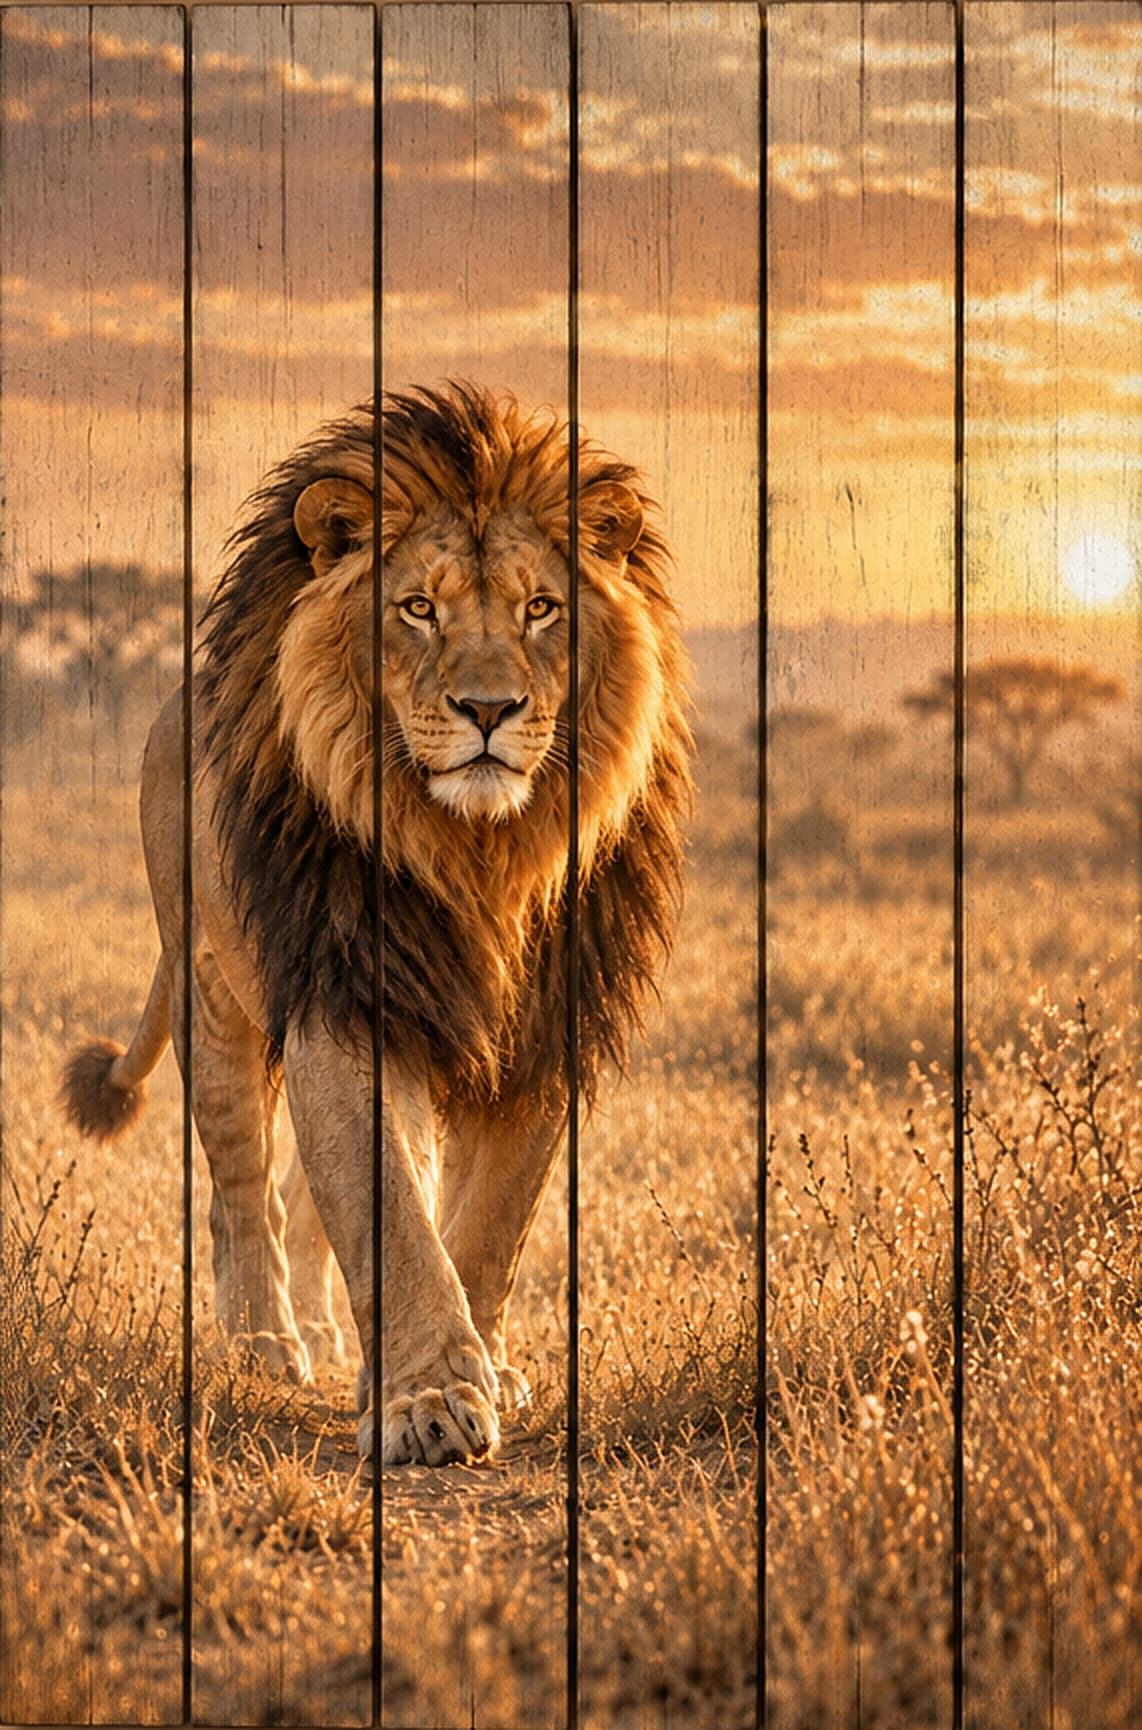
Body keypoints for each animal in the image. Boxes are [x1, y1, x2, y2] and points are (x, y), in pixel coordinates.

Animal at [62, 382, 692, 1466]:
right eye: (417, 608)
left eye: (540, 607)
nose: (488, 708)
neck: (477, 853)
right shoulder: (343, 998)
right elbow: (392, 1218)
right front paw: (428, 1400)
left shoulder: (540, 1028)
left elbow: (482, 1228)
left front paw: (473, 1372)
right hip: (212, 995)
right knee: (243, 1190)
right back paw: (267, 1344)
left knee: (308, 1203)